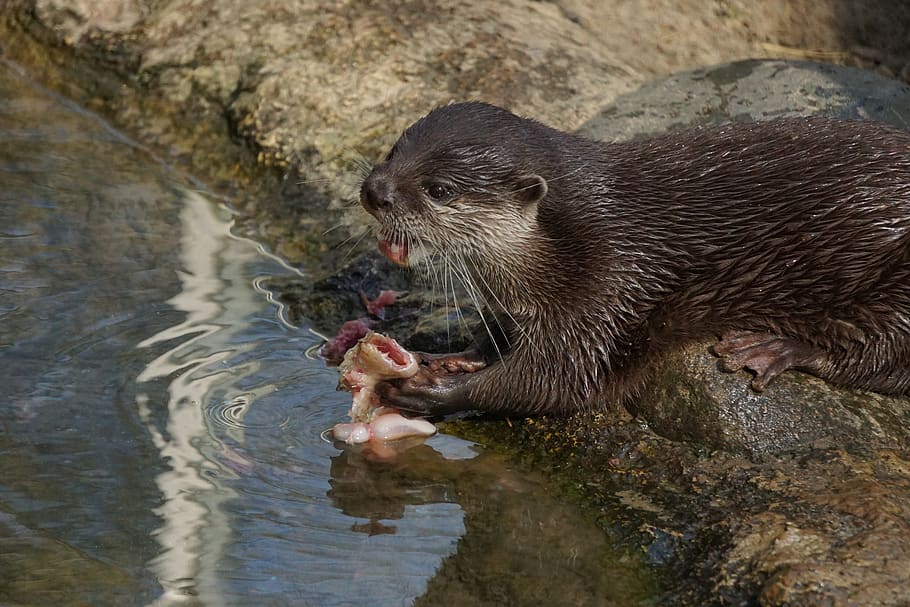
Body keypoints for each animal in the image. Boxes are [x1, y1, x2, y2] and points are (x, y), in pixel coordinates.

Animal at [358, 101, 910, 416]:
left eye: (439, 189)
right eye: (393, 151)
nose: (374, 191)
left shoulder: (606, 288)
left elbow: (555, 383)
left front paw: (439, 393)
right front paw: (451, 355)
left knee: (884, 358)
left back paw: (776, 348)